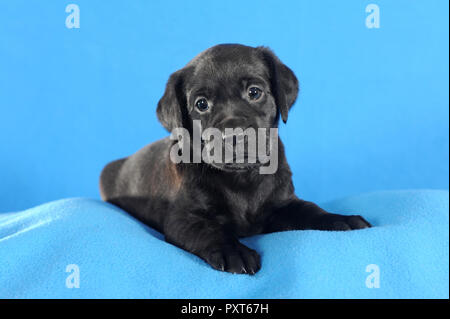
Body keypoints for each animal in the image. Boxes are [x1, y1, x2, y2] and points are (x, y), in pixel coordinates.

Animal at [100, 43, 370, 276]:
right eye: (201, 104)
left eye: (254, 92)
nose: (234, 134)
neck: (242, 176)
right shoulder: (183, 219)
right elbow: (209, 231)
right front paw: (235, 253)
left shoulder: (282, 204)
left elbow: (311, 210)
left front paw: (341, 219)